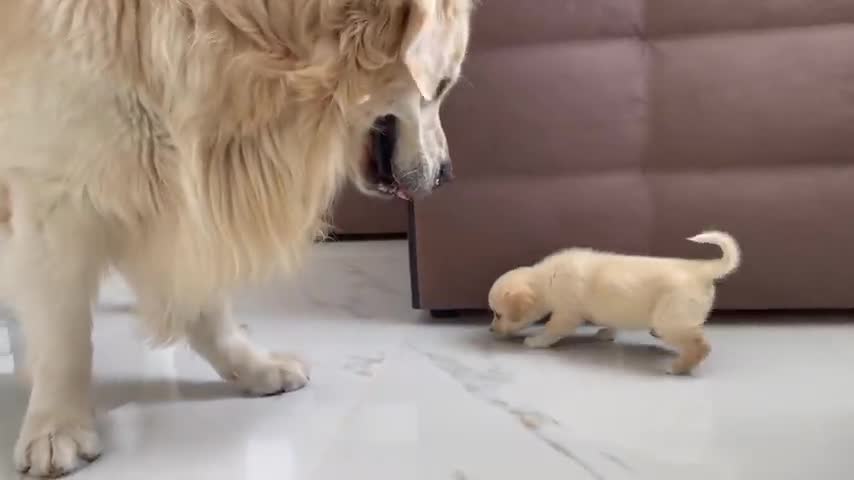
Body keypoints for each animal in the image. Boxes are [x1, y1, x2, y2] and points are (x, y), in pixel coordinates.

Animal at [488, 231, 744, 374]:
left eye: (498, 314)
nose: (490, 330)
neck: (545, 279)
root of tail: (702, 270)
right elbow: (611, 323)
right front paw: (607, 333)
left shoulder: (566, 314)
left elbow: (552, 329)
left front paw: (536, 341)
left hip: (671, 319)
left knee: (700, 346)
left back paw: (677, 368)